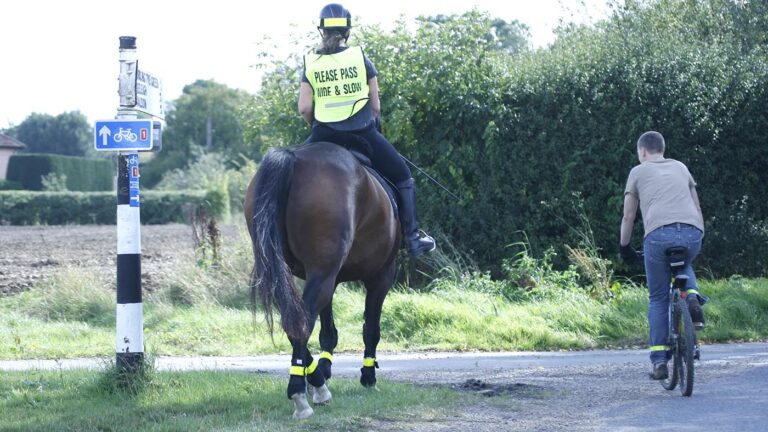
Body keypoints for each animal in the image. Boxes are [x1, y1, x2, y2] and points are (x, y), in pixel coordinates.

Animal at [244, 141, 401, 419]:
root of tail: (294, 158)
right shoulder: (381, 276)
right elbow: (371, 330)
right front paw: (368, 376)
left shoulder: (329, 276)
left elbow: (328, 331)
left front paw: (325, 370)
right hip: (326, 273)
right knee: (301, 322)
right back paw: (301, 393)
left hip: (295, 274)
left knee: (293, 319)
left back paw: (316, 383)